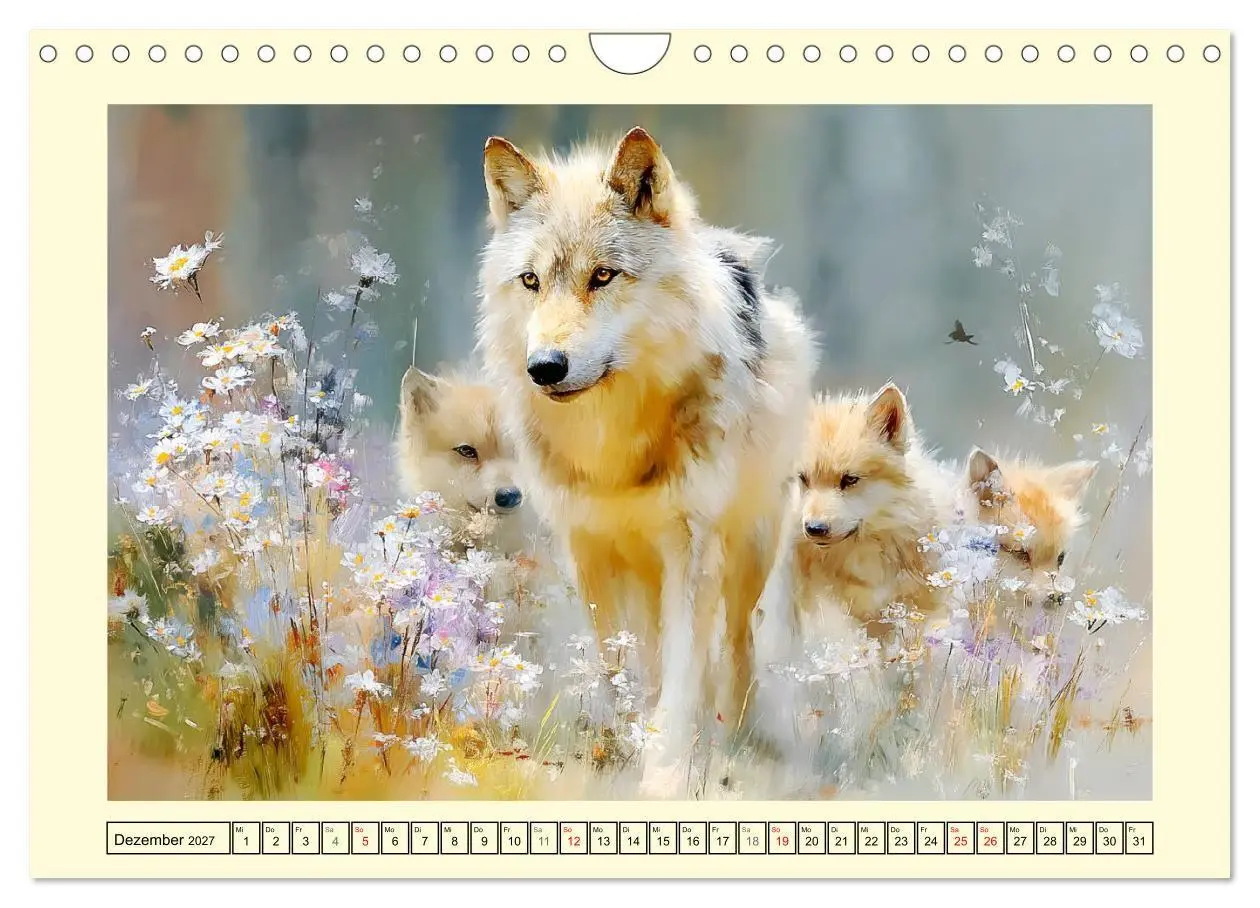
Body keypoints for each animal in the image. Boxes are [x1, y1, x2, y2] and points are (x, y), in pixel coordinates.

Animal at [476, 126, 817, 786]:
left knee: (736, 646)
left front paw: (664, 777)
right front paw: (627, 750)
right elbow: (621, 671)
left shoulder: (691, 551)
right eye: (531, 281)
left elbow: (683, 679)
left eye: (603, 276)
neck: (612, 449)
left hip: (748, 549)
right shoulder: (588, 551)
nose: (544, 367)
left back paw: (734, 738)